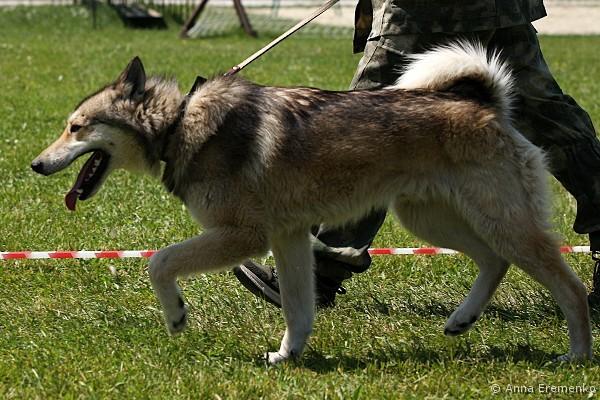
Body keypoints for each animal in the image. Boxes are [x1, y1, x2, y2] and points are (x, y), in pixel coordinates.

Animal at [31, 41, 592, 363]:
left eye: (75, 127)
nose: (35, 164)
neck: (179, 124)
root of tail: (485, 103)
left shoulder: (246, 236)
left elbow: (159, 262)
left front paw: (175, 317)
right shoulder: (289, 237)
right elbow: (299, 309)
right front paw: (288, 356)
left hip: (500, 223)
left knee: (571, 288)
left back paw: (577, 356)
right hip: (429, 219)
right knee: (494, 262)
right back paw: (462, 319)